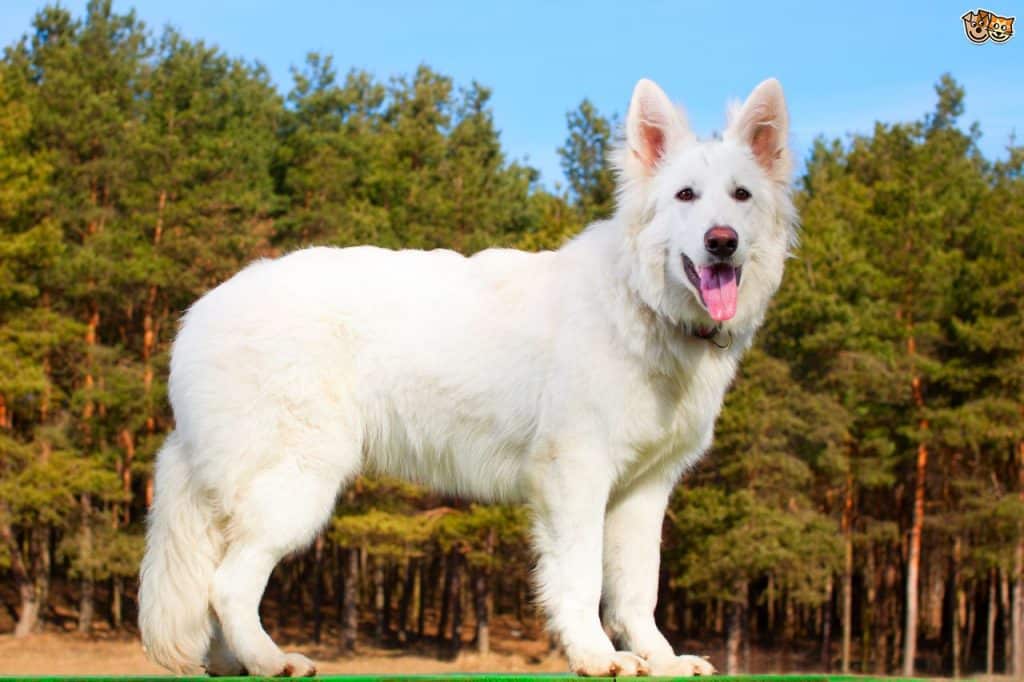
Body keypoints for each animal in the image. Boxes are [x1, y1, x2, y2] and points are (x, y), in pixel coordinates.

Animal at [138, 78, 790, 675]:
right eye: (685, 195)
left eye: (740, 195)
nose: (722, 242)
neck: (641, 302)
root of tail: (200, 312)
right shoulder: (576, 476)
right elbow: (581, 578)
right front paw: (596, 656)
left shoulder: (644, 491)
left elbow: (637, 589)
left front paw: (661, 660)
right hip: (296, 486)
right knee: (227, 586)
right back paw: (272, 660)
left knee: (215, 592)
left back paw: (237, 664)